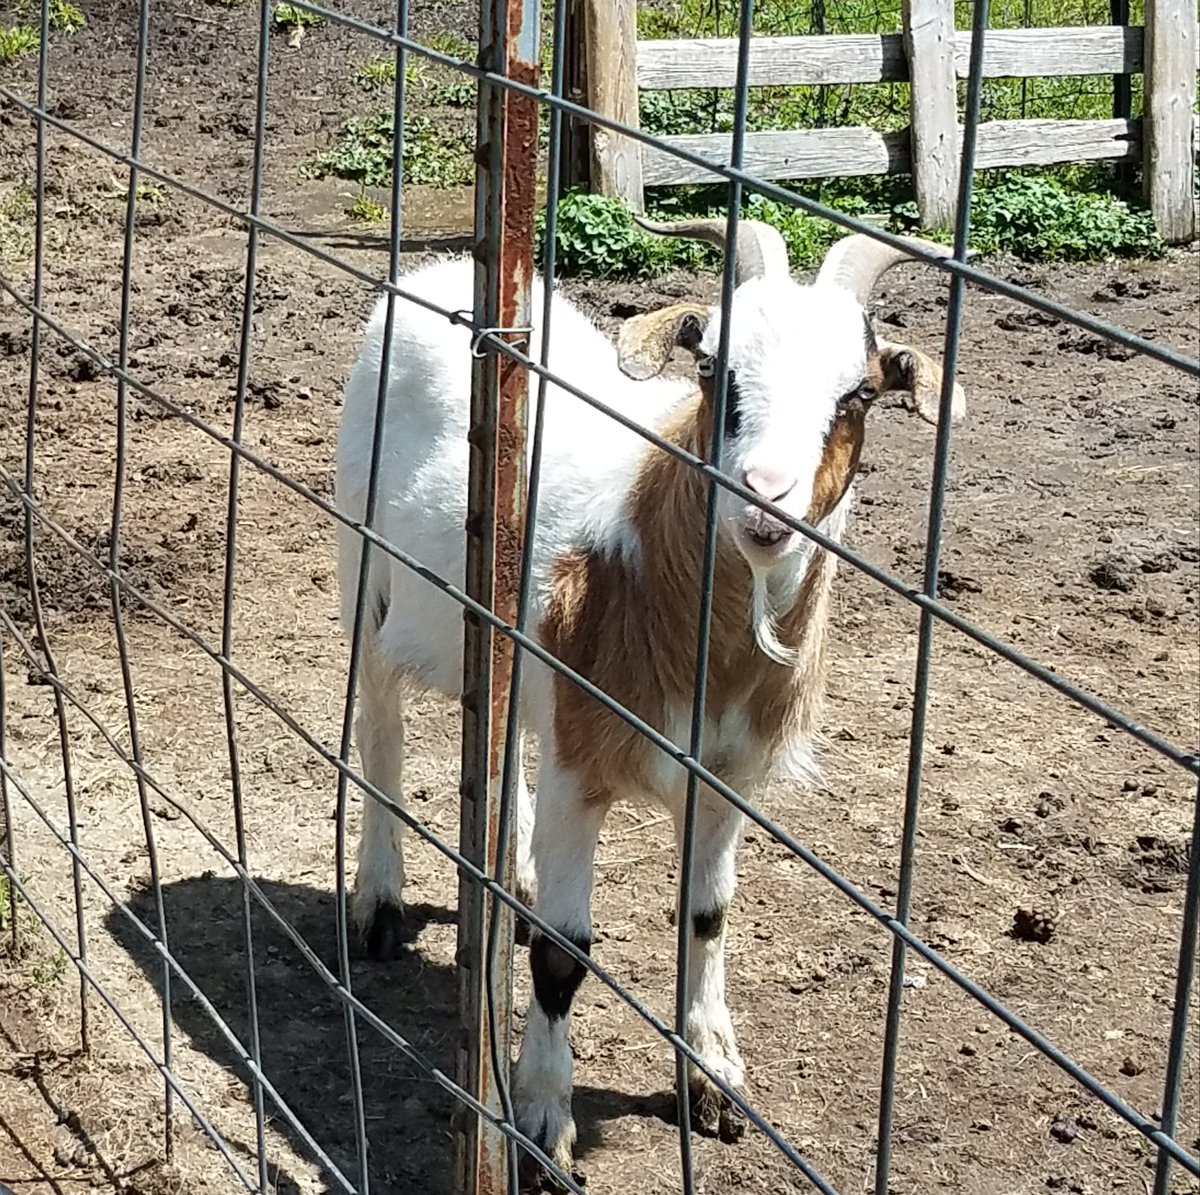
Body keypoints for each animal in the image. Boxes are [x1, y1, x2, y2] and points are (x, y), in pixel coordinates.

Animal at [334, 218, 966, 1180]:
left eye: (859, 391)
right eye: (713, 368)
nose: (766, 502)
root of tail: (435, 274)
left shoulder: (724, 776)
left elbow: (706, 916)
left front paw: (714, 1078)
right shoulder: (582, 763)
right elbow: (563, 953)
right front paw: (541, 1123)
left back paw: (510, 871)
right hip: (362, 571)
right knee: (379, 729)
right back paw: (378, 900)